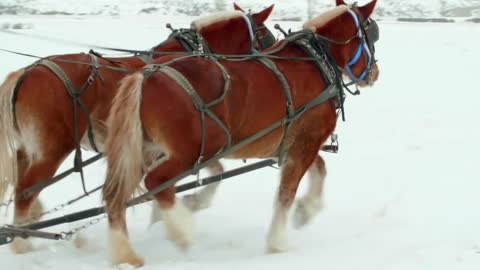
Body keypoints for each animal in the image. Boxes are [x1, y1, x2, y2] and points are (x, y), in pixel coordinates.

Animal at [0, 4, 276, 253]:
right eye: (265, 34)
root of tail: (24, 73)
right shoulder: (189, 144)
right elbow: (207, 174)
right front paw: (186, 208)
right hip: (53, 150)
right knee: (25, 190)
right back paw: (23, 243)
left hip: (28, 149)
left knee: (21, 184)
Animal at [103, 0, 380, 266]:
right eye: (371, 35)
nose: (375, 73)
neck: (316, 62)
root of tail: (145, 77)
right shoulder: (307, 141)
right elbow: (286, 192)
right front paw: (277, 242)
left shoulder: (297, 142)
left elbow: (319, 169)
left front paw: (306, 210)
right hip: (193, 152)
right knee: (156, 183)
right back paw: (182, 231)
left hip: (141, 150)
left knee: (114, 196)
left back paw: (126, 254)